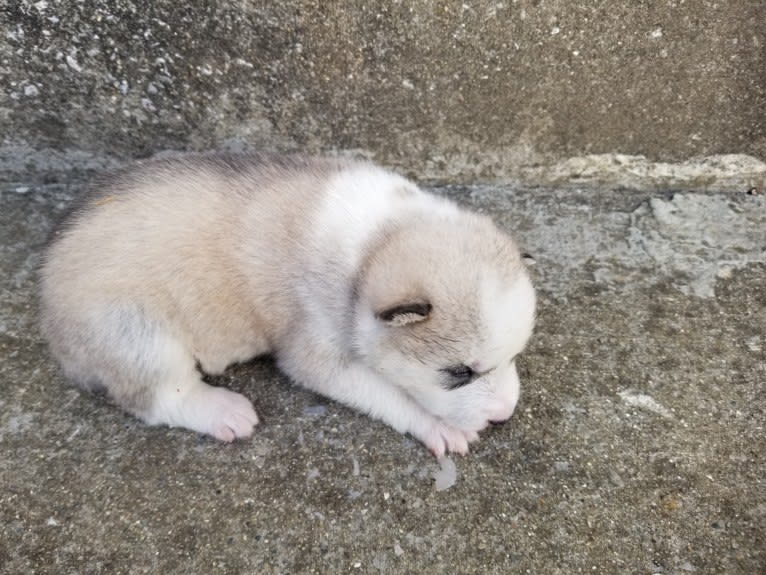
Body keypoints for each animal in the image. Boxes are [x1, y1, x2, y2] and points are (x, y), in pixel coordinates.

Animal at [39, 154, 536, 460]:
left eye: (515, 356)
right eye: (459, 373)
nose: (505, 415)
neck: (376, 244)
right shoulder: (315, 354)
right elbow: (389, 393)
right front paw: (436, 425)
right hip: (133, 332)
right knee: (159, 397)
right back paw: (221, 411)